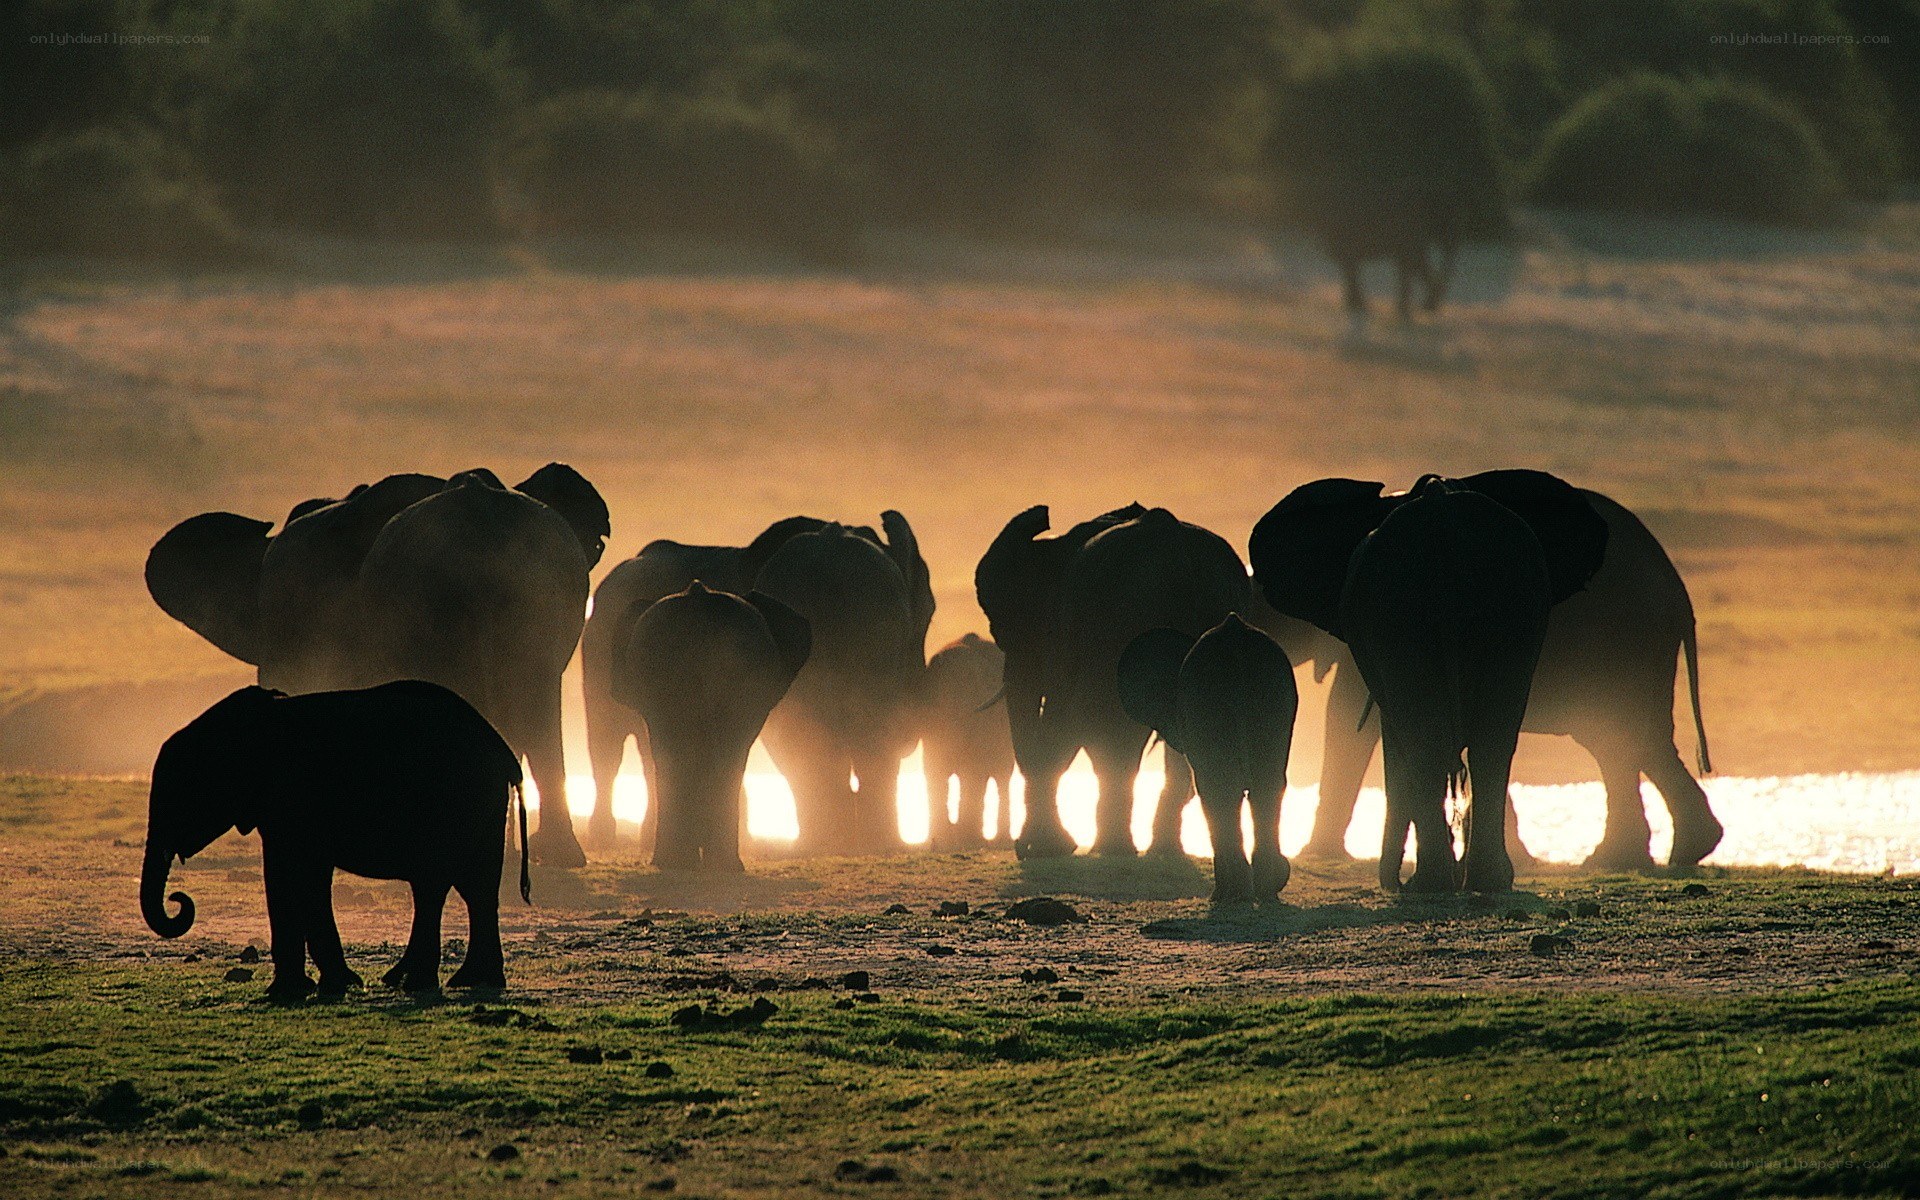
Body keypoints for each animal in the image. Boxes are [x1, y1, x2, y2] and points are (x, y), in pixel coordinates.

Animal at [140, 681, 528, 1000]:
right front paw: (316, 987)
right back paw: (467, 981)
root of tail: (504, 752)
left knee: (439, 885)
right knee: (472, 888)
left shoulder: (293, 798)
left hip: (455, 802)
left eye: (179, 793)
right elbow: (296, 877)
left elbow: (296, 876)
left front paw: (309, 989)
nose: (178, 899)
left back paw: (423, 982)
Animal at [976, 504, 1251, 859]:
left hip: (1119, 621)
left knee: (1104, 723)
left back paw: (1108, 849)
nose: (1020, 849)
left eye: (1003, 631)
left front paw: (1047, 849)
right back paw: (1157, 851)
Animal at [1118, 615, 1298, 902]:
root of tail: (1234, 637)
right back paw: (1265, 889)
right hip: (1276, 699)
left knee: (1219, 788)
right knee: (1267, 784)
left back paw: (1232, 893)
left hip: (1208, 701)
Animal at [1253, 471, 1721, 872]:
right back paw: (1664, 853)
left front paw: (1313, 853)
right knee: (1626, 740)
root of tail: (1679, 593)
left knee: (1622, 736)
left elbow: (1347, 720)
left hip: (1627, 644)